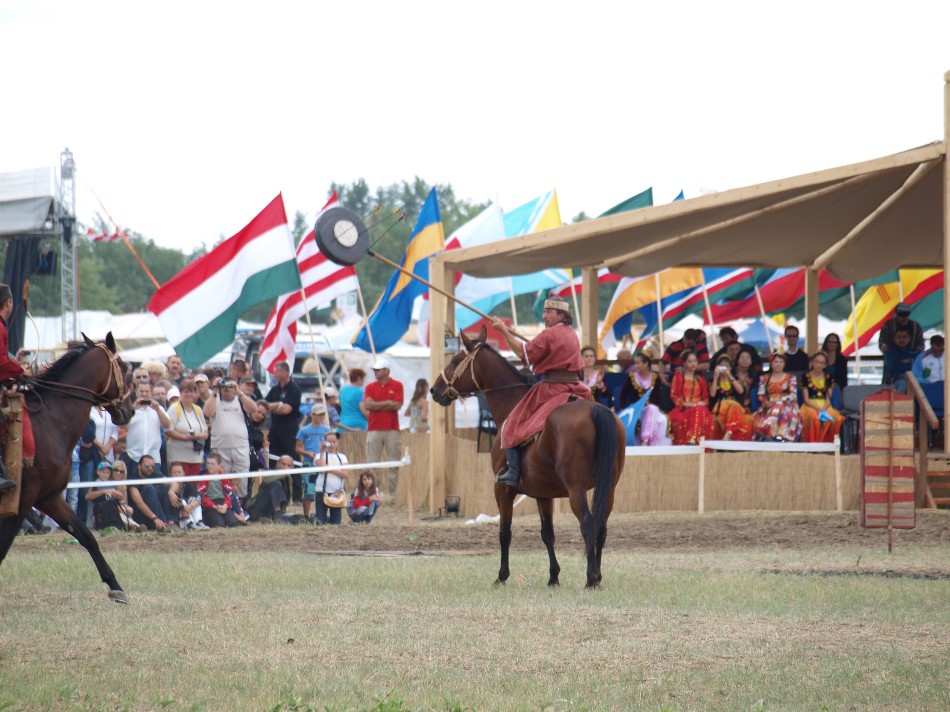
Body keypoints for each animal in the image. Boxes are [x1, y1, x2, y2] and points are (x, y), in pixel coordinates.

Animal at [0, 333, 134, 603]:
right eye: (124, 367)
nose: (130, 410)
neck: (50, 422)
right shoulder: (22, 500)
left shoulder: (48, 497)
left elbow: (86, 535)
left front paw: (115, 586)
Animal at [431, 327, 626, 589]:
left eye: (454, 360)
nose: (435, 390)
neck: (511, 403)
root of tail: (597, 410)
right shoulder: (544, 494)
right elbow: (547, 534)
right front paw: (553, 576)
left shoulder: (502, 490)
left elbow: (505, 532)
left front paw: (502, 576)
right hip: (609, 486)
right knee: (601, 527)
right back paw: (598, 577)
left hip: (576, 489)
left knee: (587, 523)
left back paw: (591, 578)